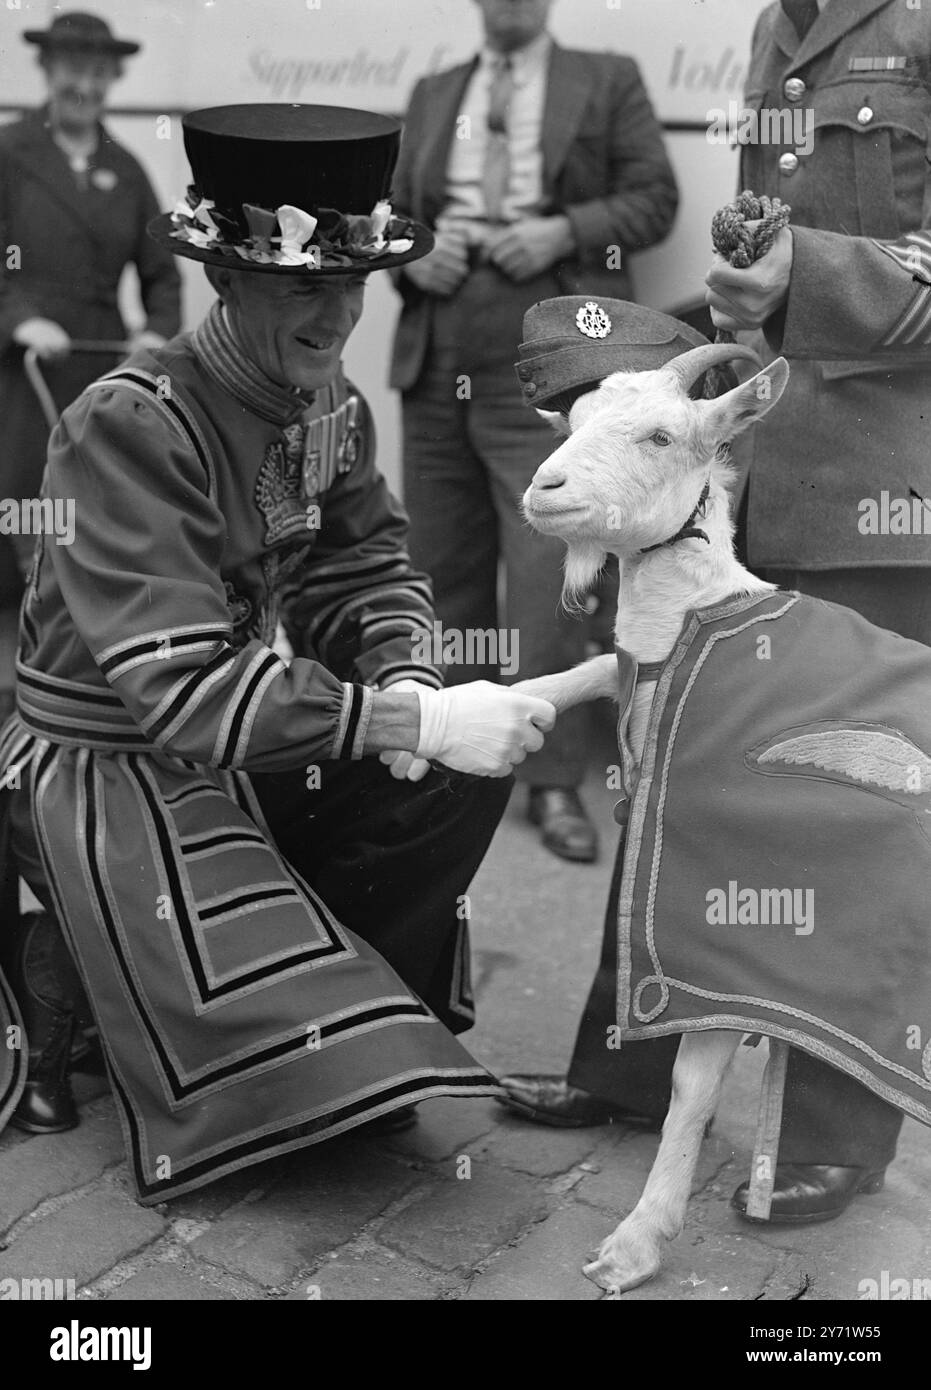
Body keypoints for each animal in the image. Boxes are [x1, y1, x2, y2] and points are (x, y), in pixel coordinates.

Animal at [514, 341, 789, 1295]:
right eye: (575, 414)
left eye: (662, 435)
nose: (545, 488)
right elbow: (604, 666)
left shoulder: (735, 925)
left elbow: (691, 1085)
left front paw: (636, 1242)